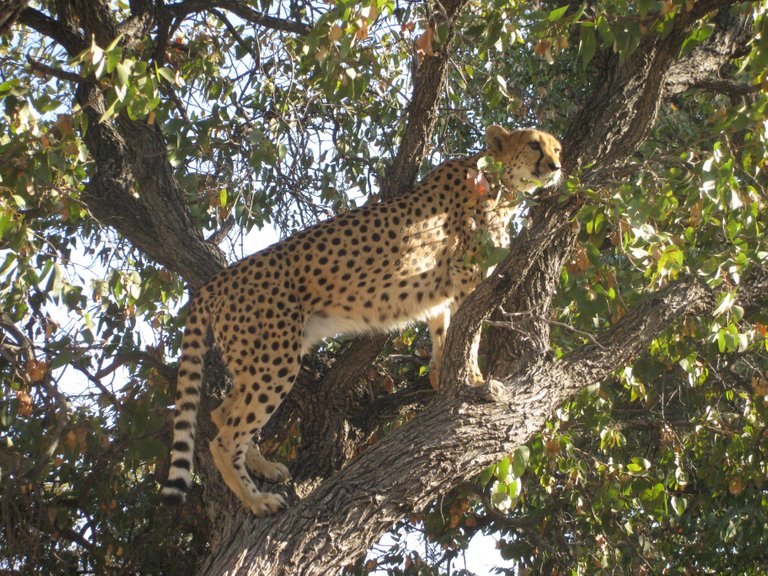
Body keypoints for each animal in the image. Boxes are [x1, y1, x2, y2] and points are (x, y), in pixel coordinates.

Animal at [159, 125, 560, 512]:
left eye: (556, 149)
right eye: (534, 146)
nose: (556, 167)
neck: (498, 181)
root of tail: (219, 278)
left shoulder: (442, 290)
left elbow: (444, 329)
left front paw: (441, 373)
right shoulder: (466, 272)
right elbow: (470, 329)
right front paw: (473, 377)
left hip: (257, 358)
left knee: (221, 412)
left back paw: (264, 467)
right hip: (273, 359)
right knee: (224, 438)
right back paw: (257, 501)